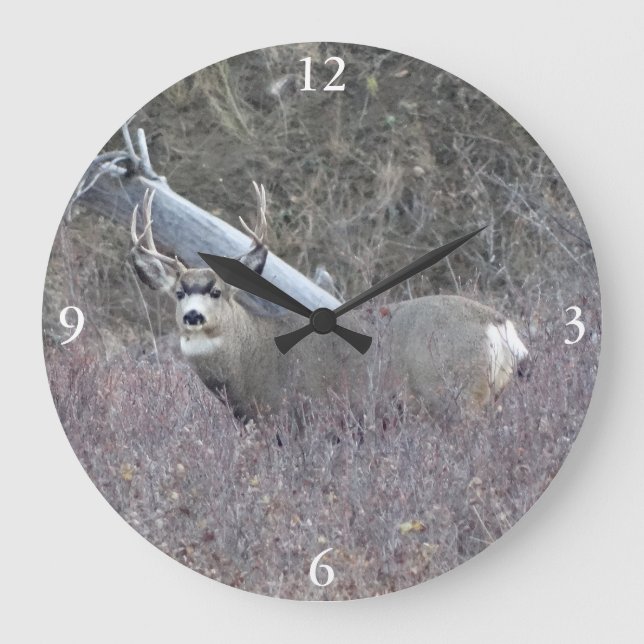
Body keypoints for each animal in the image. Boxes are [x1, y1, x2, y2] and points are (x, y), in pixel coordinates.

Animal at [130, 184, 529, 421]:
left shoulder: (298, 417)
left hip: (456, 397)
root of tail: (498, 324)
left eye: (217, 291)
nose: (193, 317)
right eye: (178, 293)